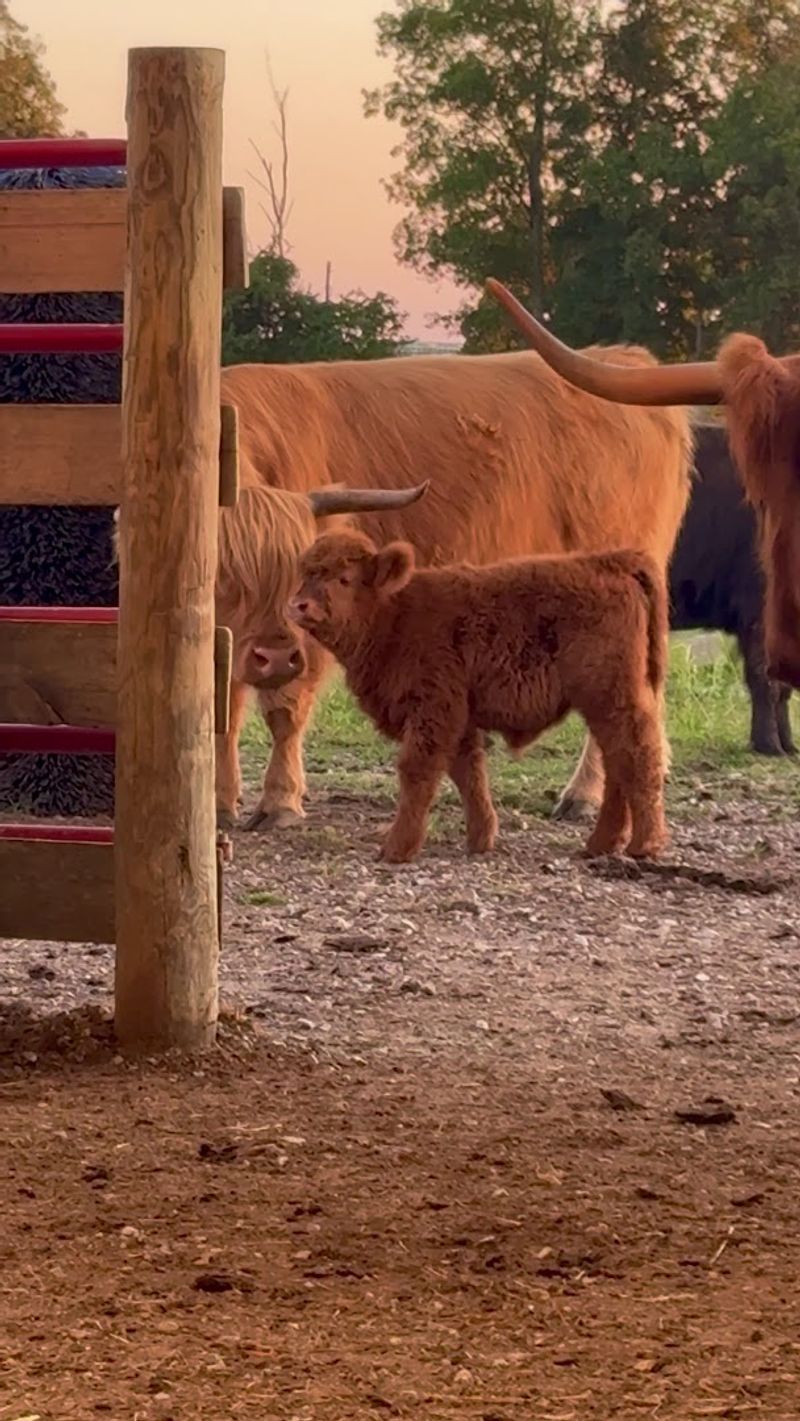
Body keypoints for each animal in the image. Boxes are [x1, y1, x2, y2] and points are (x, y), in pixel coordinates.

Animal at [288, 530, 669, 863]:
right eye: (305, 573)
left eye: (344, 578)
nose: (298, 605)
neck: (395, 612)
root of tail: (609, 561)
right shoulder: (460, 719)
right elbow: (468, 773)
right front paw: (480, 839)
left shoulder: (434, 710)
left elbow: (417, 770)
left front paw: (396, 849)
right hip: (605, 706)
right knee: (617, 762)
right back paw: (602, 844)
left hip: (611, 699)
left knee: (637, 755)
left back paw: (644, 845)